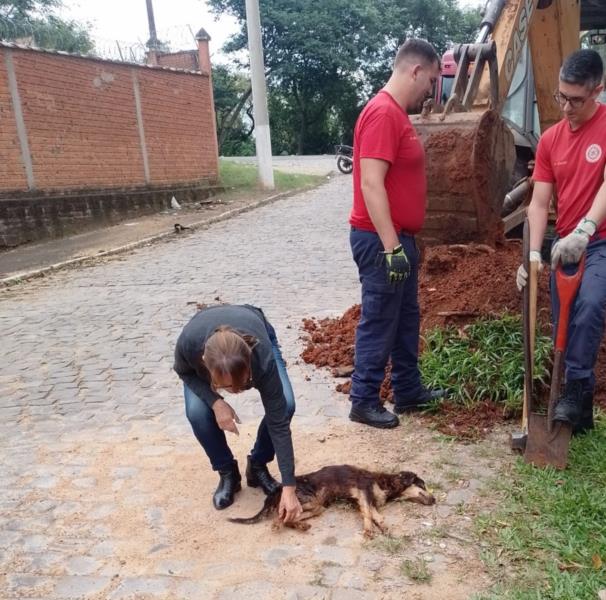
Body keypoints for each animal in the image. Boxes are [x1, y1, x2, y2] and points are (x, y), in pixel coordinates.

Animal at [229, 464, 436, 540]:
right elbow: (369, 515)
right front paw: (369, 530)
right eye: (423, 485)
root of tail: (277, 490)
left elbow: (377, 516)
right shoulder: (363, 493)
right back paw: (280, 525)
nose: (434, 500)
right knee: (279, 519)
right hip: (308, 502)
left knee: (289, 520)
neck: (385, 483)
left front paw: (384, 528)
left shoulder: (364, 501)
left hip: (317, 507)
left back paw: (302, 526)